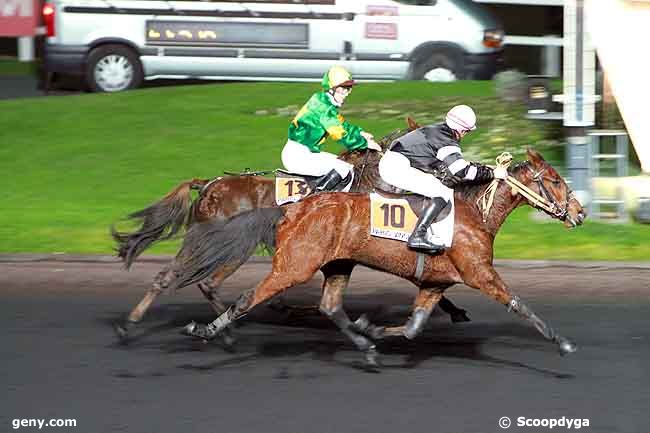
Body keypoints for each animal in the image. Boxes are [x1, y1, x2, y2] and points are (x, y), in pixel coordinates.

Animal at [110, 119, 466, 340]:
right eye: (437, 152)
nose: (459, 176)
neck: (370, 179)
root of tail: (209, 184)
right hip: (226, 249)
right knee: (201, 282)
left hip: (204, 245)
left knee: (170, 277)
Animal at [175, 148, 584, 364]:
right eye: (556, 180)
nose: (580, 213)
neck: (474, 212)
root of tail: (293, 211)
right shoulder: (480, 273)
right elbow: (520, 305)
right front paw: (562, 342)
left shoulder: (435, 283)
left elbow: (414, 326)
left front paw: (372, 328)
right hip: (293, 266)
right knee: (244, 297)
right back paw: (210, 331)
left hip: (337, 264)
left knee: (329, 306)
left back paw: (364, 344)